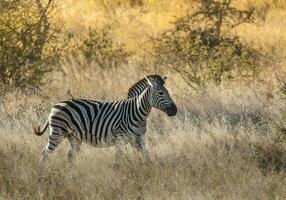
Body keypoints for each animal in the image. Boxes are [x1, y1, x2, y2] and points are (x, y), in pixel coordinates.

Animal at [33, 75, 177, 161]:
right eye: (161, 93)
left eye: (168, 92)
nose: (175, 110)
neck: (137, 113)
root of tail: (55, 105)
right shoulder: (120, 139)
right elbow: (118, 160)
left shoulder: (138, 139)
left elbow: (147, 156)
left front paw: (149, 171)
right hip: (57, 133)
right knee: (44, 154)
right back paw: (42, 175)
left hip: (73, 137)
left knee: (69, 157)